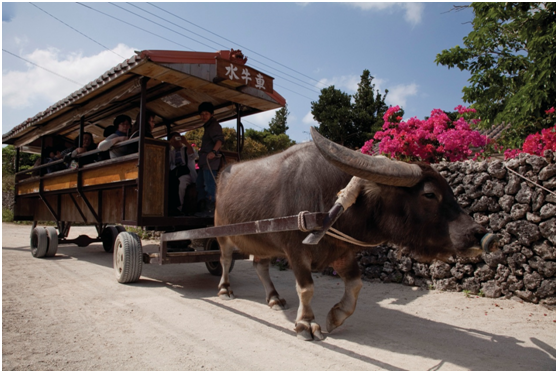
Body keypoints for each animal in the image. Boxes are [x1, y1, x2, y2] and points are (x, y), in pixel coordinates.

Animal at [215, 128, 498, 340]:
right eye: (429, 194)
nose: (481, 234)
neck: (329, 201)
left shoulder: (342, 251)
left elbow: (355, 285)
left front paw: (336, 316)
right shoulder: (296, 252)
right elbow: (306, 288)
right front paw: (306, 324)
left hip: (262, 241)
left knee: (260, 265)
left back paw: (274, 298)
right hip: (222, 234)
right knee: (225, 260)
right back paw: (225, 289)